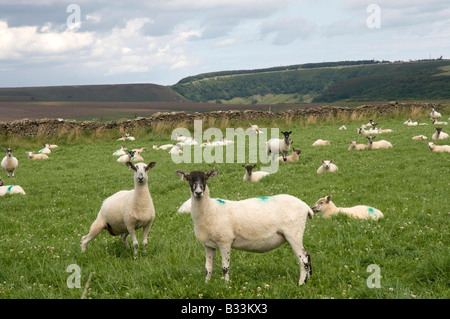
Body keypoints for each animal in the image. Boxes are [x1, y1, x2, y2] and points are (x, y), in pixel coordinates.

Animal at [176, 170, 312, 288]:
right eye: (189, 179)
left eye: (205, 178)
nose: (198, 192)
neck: (210, 209)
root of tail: (306, 207)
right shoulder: (208, 245)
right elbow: (208, 268)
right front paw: (206, 284)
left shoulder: (225, 241)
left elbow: (225, 268)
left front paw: (226, 285)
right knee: (307, 255)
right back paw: (308, 280)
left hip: (294, 233)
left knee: (303, 259)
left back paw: (301, 283)